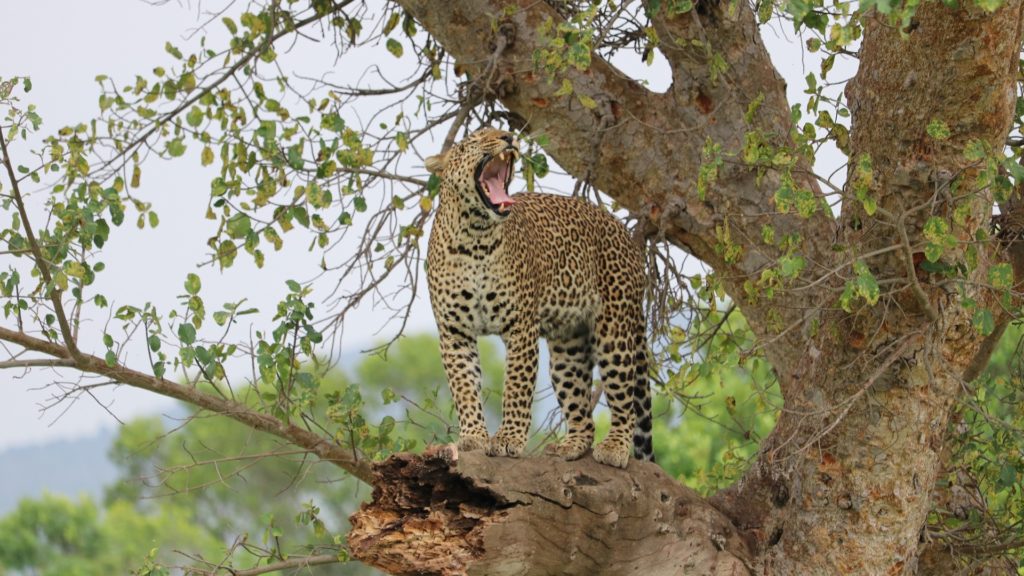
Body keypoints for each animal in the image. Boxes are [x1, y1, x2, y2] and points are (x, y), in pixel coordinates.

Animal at [425, 125, 655, 467]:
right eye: (474, 140)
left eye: (497, 132)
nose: (508, 137)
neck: (474, 236)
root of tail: (624, 234)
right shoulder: (454, 330)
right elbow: (464, 386)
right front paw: (473, 437)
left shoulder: (520, 325)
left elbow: (516, 387)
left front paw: (508, 439)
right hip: (568, 347)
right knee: (582, 413)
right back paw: (571, 446)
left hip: (615, 330)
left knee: (625, 397)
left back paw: (615, 447)